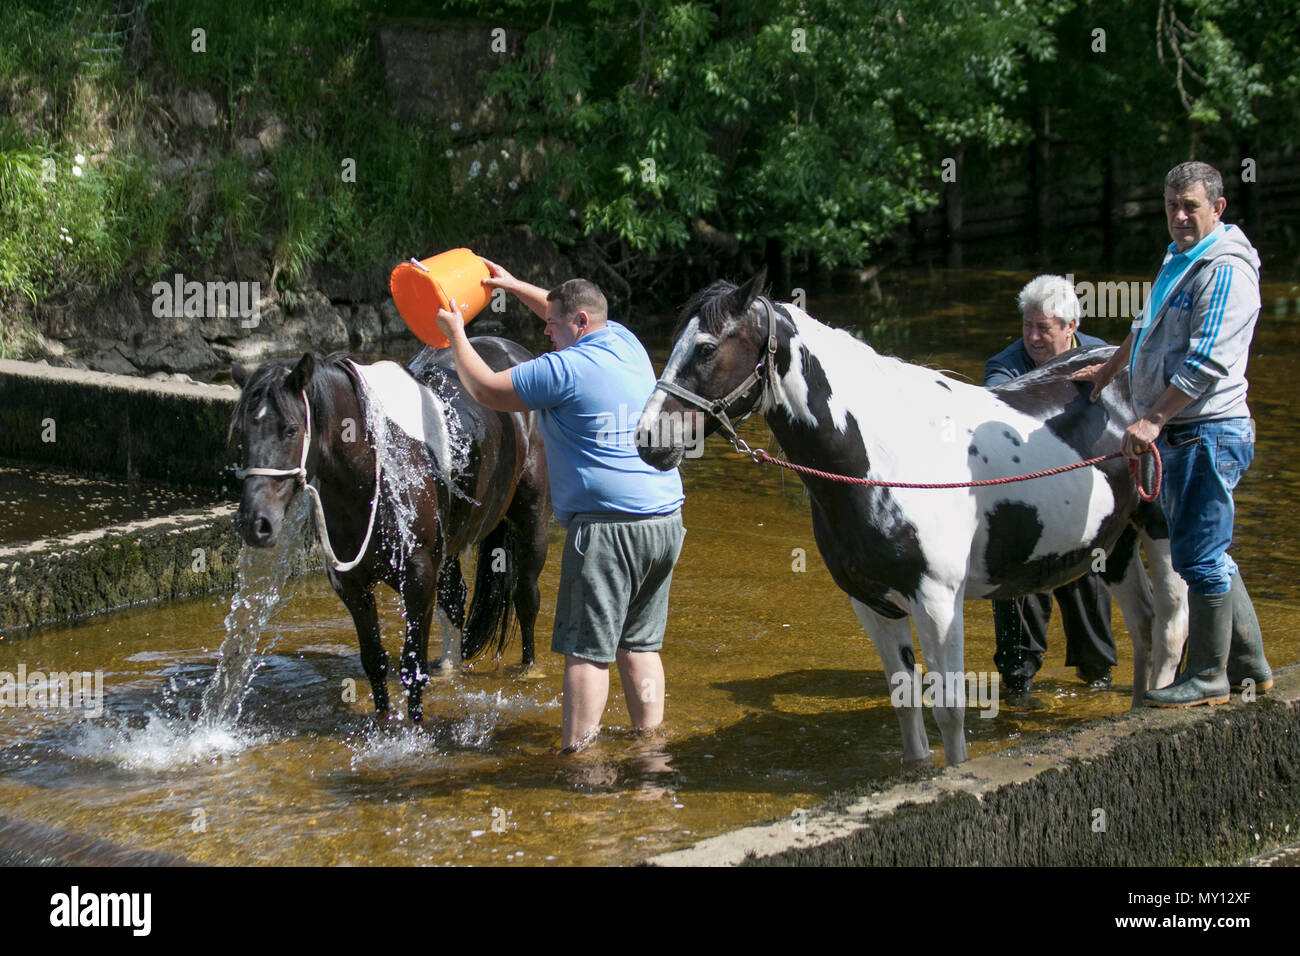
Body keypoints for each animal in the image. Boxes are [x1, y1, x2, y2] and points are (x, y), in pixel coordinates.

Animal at [231, 340, 551, 723]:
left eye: (291, 429)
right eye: (242, 433)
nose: (255, 523)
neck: (374, 470)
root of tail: (511, 350)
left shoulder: (417, 579)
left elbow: (412, 666)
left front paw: (415, 728)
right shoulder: (352, 587)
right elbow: (374, 660)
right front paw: (383, 723)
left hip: (531, 521)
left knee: (526, 597)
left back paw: (529, 670)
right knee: (455, 601)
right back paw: (449, 671)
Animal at [637, 273, 1190, 764]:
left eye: (706, 348)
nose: (647, 439)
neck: (882, 456)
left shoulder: (938, 602)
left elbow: (949, 710)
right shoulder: (872, 603)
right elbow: (904, 701)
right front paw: (918, 770)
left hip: (1160, 531)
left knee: (1170, 622)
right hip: (1113, 545)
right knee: (1143, 625)